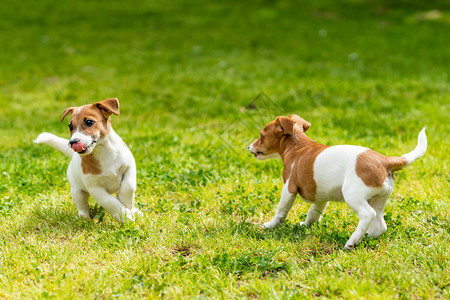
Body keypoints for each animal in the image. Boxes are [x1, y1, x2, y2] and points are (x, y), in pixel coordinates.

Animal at [248, 113, 428, 250]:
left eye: (261, 135)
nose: (249, 147)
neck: (297, 146)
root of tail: (384, 161)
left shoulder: (288, 188)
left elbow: (281, 210)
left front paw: (270, 225)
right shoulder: (321, 197)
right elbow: (313, 213)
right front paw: (305, 225)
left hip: (353, 195)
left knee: (367, 214)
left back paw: (351, 242)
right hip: (379, 199)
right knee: (379, 223)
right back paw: (365, 236)